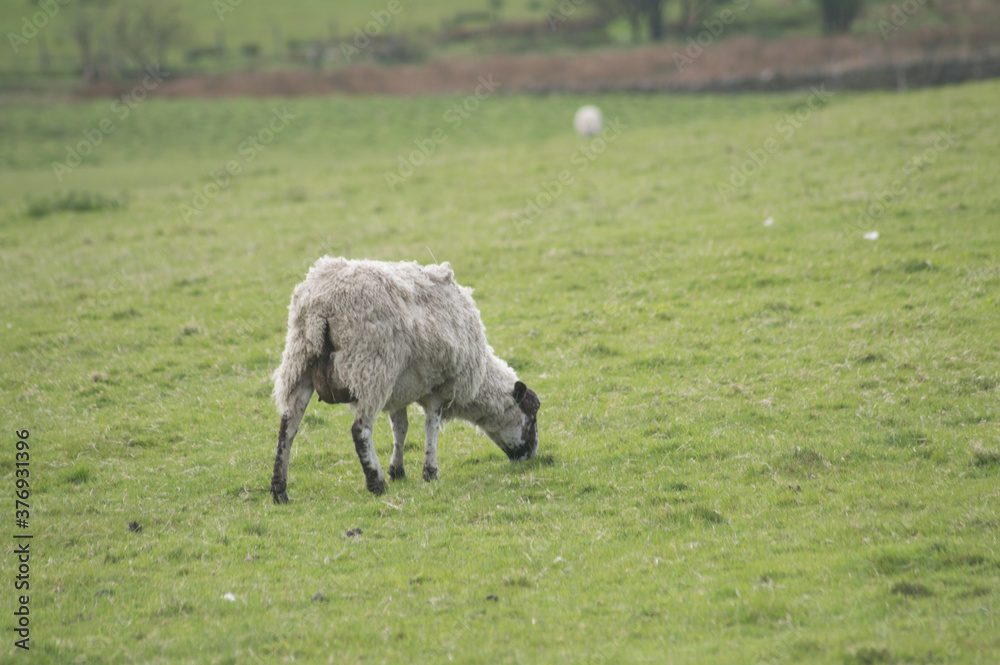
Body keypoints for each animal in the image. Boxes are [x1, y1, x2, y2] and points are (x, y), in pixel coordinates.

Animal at [269, 257, 540, 502]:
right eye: (533, 412)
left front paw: (397, 471)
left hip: (301, 362)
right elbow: (431, 428)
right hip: (372, 368)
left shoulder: (399, 392)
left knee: (288, 427)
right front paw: (430, 473)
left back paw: (279, 490)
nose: (532, 455)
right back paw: (376, 483)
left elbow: (400, 428)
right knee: (360, 429)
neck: (481, 378)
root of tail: (319, 308)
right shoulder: (438, 390)